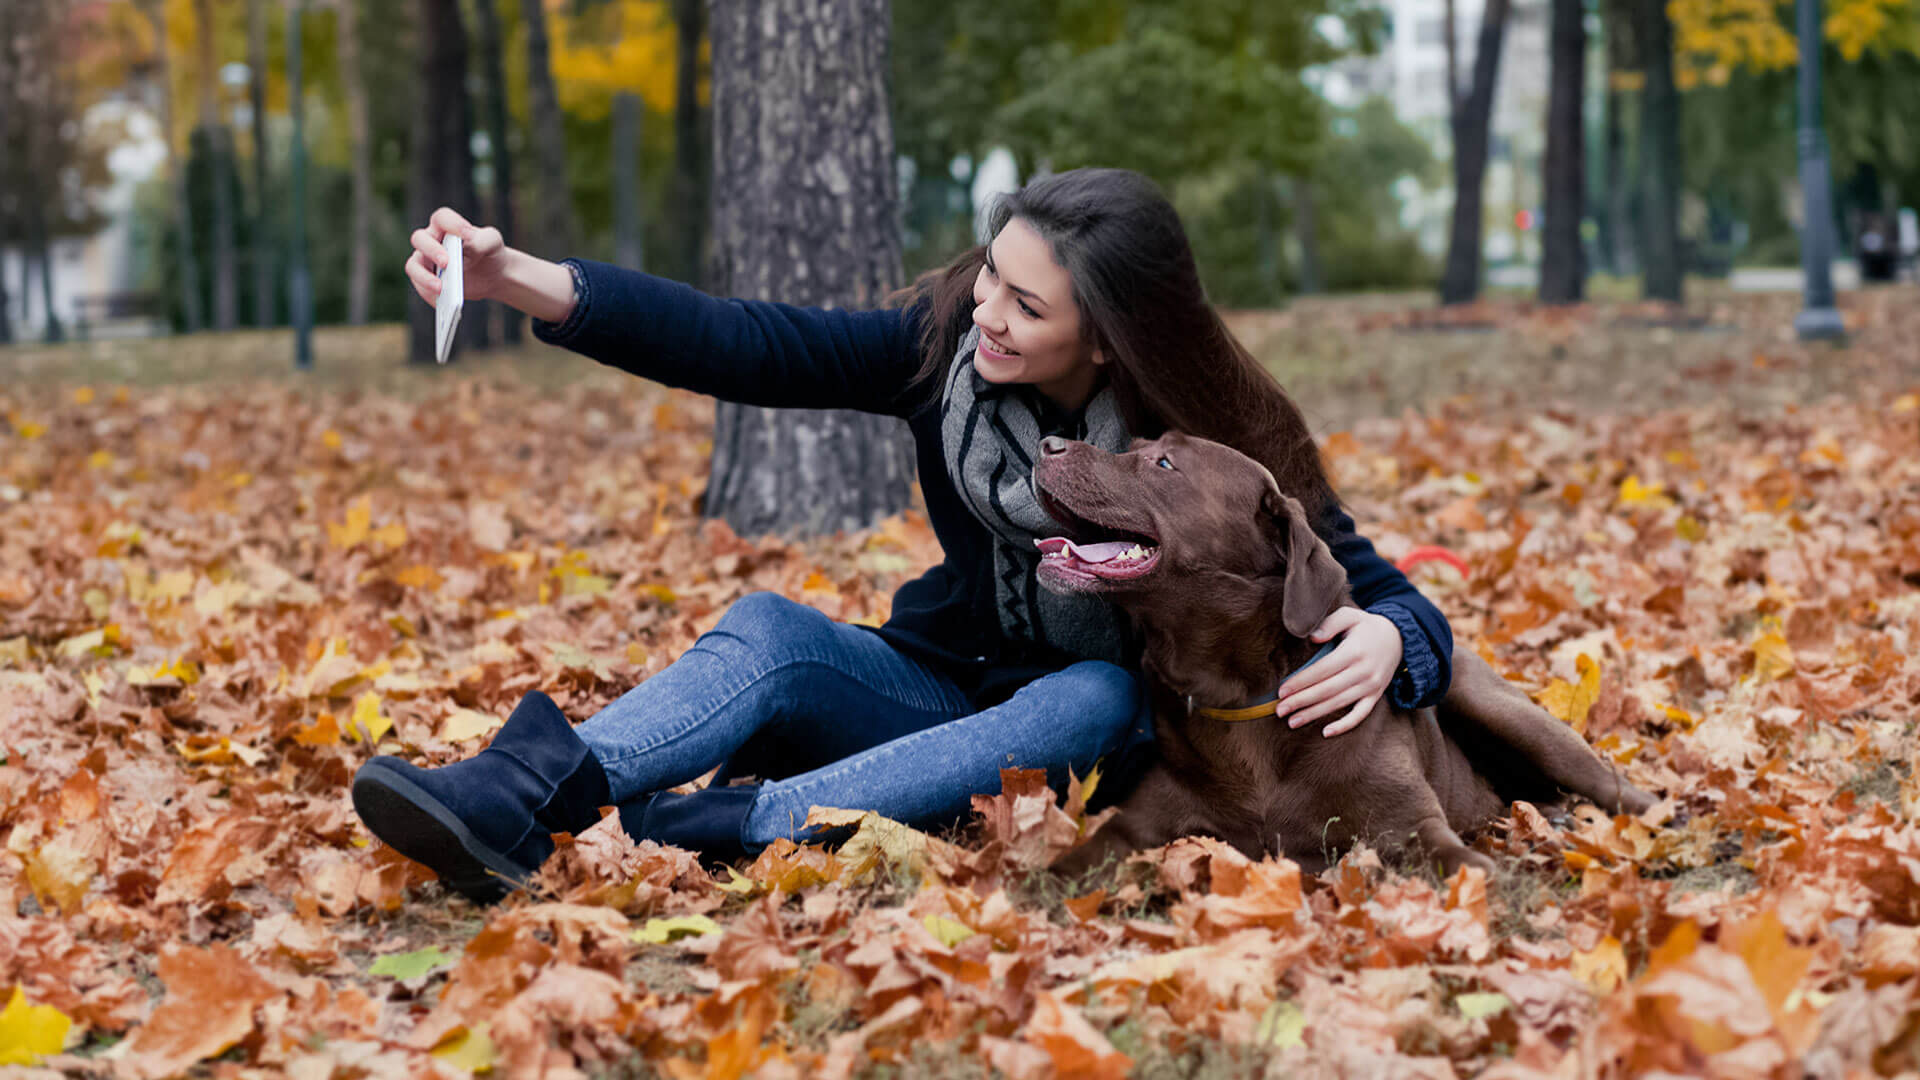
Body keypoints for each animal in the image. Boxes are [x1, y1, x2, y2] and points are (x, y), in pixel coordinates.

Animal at [1036, 428, 1651, 876]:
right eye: (1135, 448)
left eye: (1164, 464)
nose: (1048, 443)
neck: (1236, 694)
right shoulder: (1134, 829)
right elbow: (1061, 871)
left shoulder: (1414, 827)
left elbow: (1470, 867)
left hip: (1492, 704)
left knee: (1611, 787)